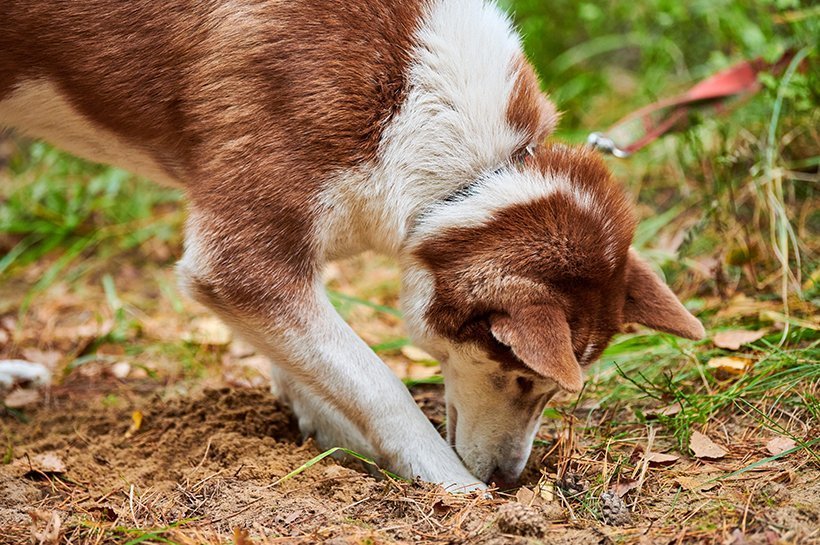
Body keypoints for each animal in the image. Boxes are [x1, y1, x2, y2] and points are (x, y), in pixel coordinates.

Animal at [0, 0, 704, 490]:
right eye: (520, 375)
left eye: (545, 389)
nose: (508, 480)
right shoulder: (238, 262)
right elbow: (378, 385)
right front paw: (449, 485)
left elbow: (317, 365)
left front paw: (328, 431)